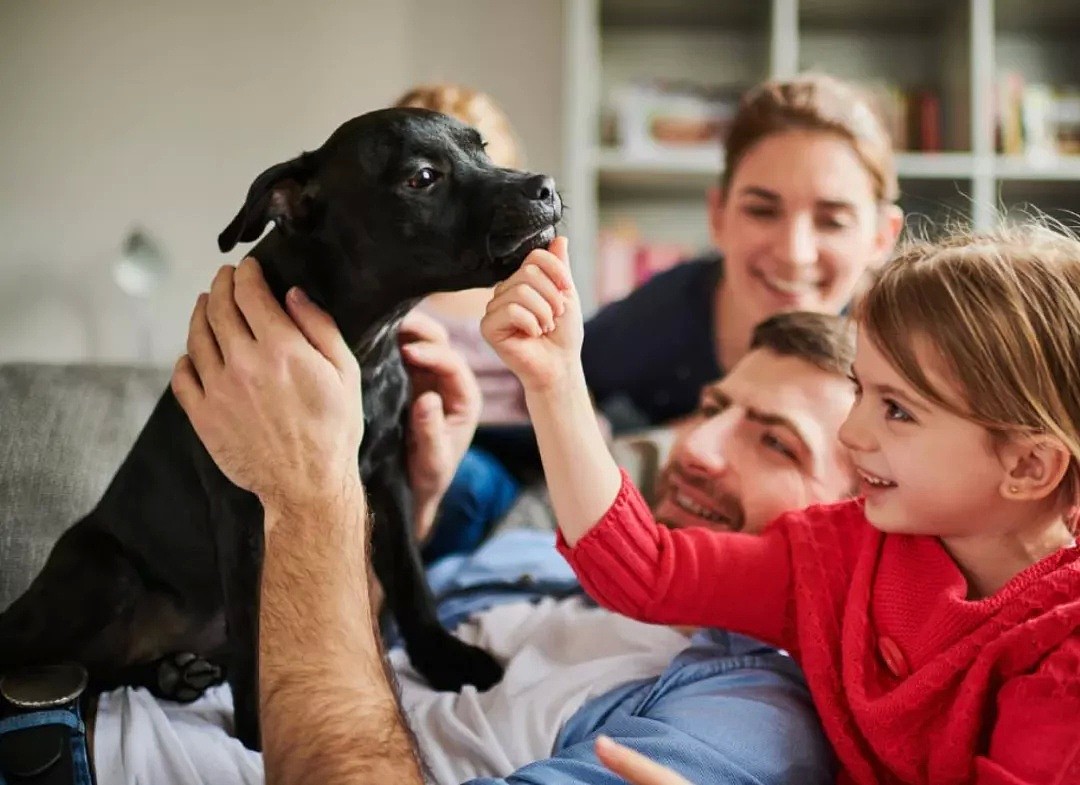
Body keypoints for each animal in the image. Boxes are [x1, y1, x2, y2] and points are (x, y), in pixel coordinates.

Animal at [0, 107, 557, 751]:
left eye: (483, 148)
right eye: (422, 178)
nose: (545, 187)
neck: (361, 347)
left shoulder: (388, 480)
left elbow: (412, 582)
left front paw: (444, 660)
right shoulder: (245, 514)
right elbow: (255, 635)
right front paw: (261, 730)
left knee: (105, 673)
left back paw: (172, 673)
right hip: (101, 573)